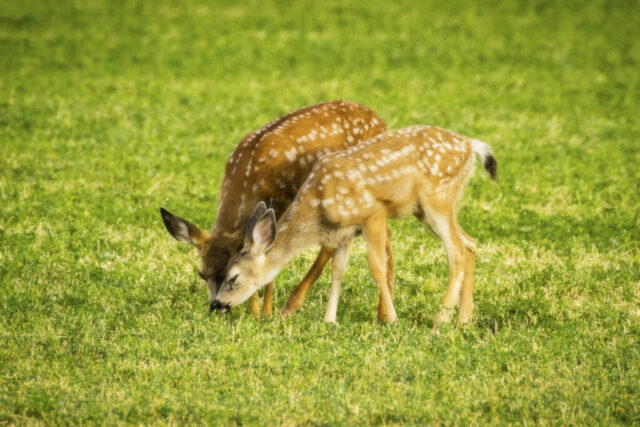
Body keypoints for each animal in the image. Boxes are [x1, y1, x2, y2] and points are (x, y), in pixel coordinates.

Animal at [159, 100, 389, 317]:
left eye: (229, 275)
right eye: (202, 274)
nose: (216, 307)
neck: (247, 177)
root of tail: (380, 121)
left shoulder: (281, 206)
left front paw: (263, 313)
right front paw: (254, 311)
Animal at [210, 125, 497, 328]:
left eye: (233, 277)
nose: (217, 304)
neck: (318, 205)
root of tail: (471, 145)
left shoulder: (373, 213)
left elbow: (377, 266)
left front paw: (391, 318)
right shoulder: (344, 233)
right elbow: (337, 271)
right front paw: (329, 320)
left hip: (437, 199)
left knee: (456, 252)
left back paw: (441, 321)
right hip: (427, 209)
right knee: (470, 243)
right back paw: (463, 320)